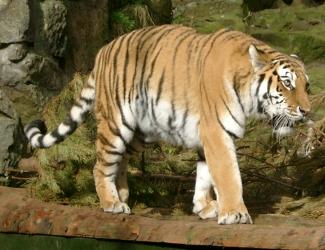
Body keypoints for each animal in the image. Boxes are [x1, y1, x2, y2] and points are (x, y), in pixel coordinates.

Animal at [24, 24, 308, 225]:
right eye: (287, 84)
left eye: (307, 86)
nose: (306, 111)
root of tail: (103, 51)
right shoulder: (217, 132)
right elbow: (228, 175)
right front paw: (234, 214)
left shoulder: (208, 137)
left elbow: (205, 174)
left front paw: (204, 207)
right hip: (116, 124)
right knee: (100, 165)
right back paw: (111, 203)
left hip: (140, 132)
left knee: (120, 159)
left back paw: (122, 194)